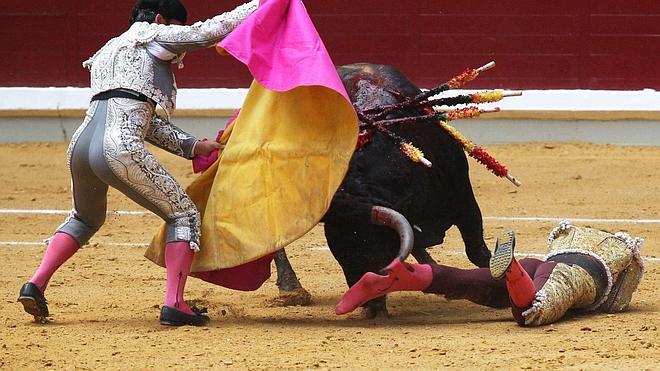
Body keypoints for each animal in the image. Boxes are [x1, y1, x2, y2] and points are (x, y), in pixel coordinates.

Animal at [270, 64, 492, 316]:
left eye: (374, 243)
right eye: (342, 252)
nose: (368, 304)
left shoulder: (464, 198)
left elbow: (477, 252)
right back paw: (291, 290)